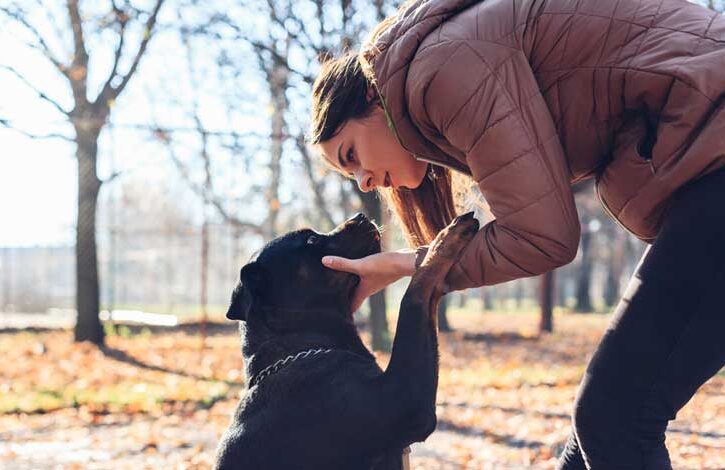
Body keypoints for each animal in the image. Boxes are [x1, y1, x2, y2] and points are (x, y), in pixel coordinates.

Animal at [212, 213, 478, 470]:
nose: (360, 215)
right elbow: (414, 293)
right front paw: (444, 239)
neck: (301, 345)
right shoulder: (404, 400)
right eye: (311, 240)